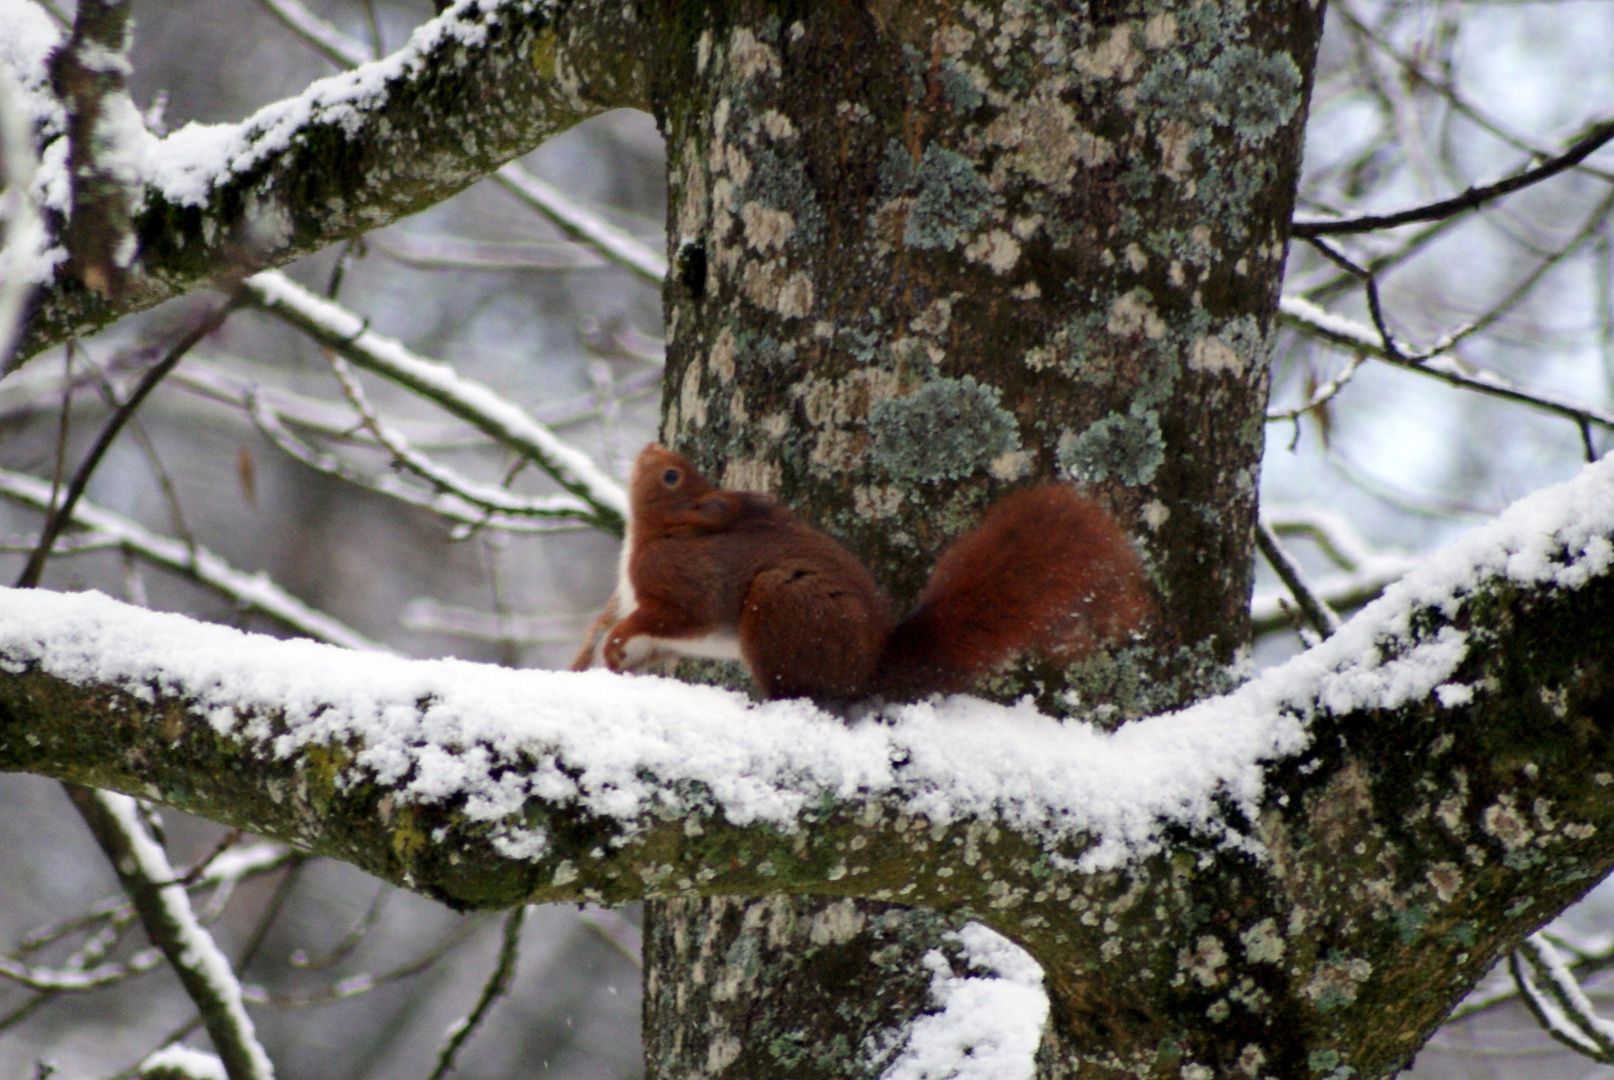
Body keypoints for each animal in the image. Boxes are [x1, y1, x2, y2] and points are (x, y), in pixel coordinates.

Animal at [568, 442, 1149, 703]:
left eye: (671, 476)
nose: (650, 447)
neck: (658, 533)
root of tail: (869, 669)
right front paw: (607, 658)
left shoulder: (687, 583)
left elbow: (681, 615)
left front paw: (616, 640)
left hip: (781, 603)